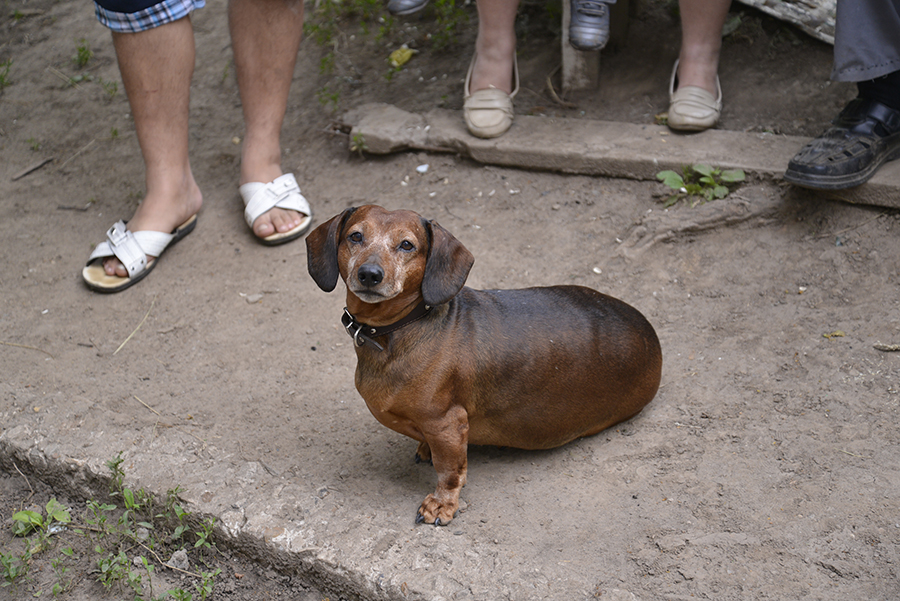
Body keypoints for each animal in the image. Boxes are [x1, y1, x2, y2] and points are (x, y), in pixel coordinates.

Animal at [308, 206, 660, 524]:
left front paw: (441, 505)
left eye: (407, 245)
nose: (369, 274)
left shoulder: (448, 423)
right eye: (355, 236)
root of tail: (650, 336)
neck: (402, 329)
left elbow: (450, 471)